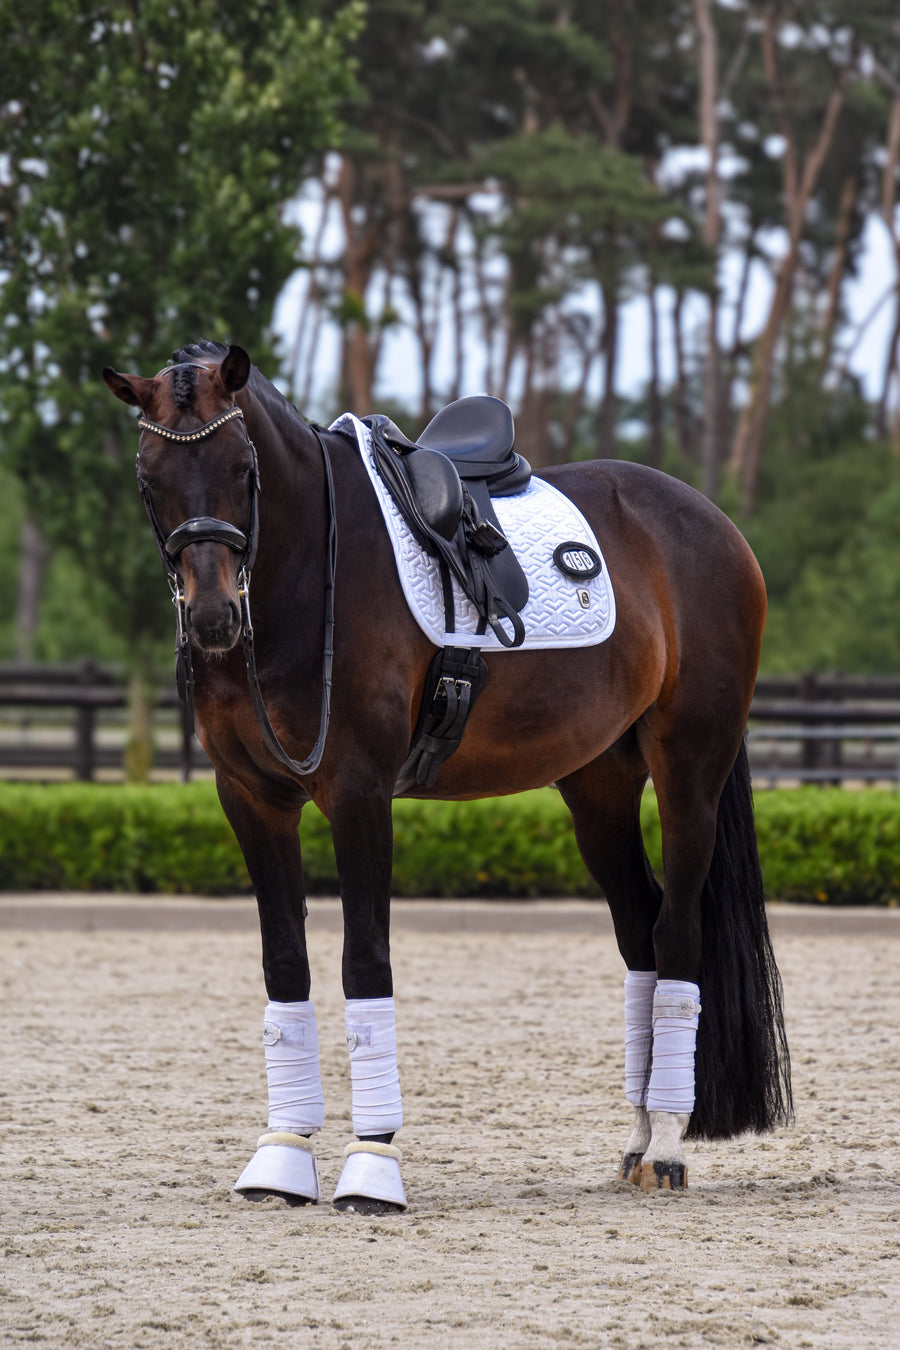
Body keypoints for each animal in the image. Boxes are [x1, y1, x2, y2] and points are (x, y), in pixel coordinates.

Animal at [103, 340, 791, 1214]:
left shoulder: (360, 794)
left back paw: (667, 1144)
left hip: (690, 770)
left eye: (242, 466)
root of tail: (710, 522)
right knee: (639, 931)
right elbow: (284, 962)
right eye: (149, 474)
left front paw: (372, 1164)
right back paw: (637, 1142)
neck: (307, 570)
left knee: (676, 936)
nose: (214, 617)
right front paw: (283, 1156)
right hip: (598, 784)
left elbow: (364, 960)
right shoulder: (251, 800)